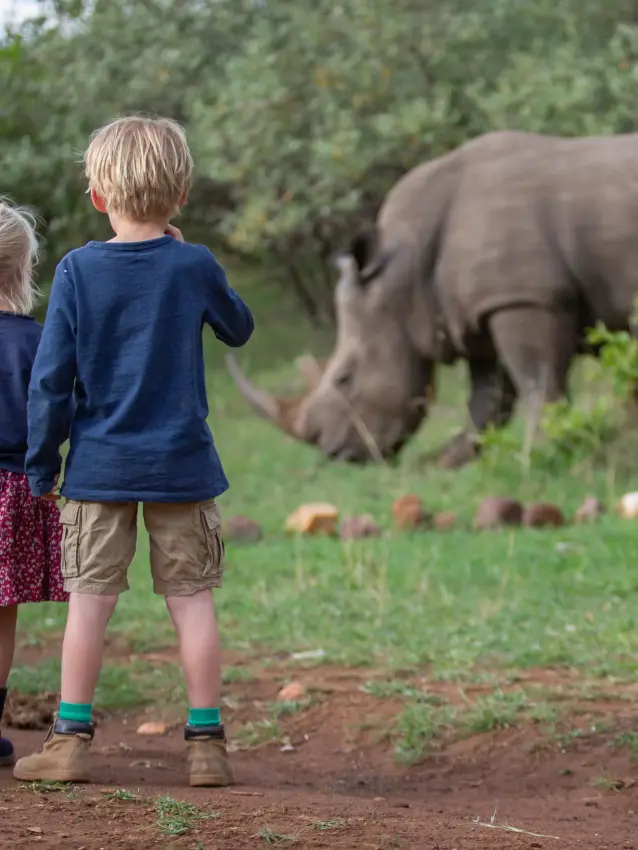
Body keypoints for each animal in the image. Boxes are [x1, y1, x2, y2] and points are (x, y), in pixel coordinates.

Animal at [227, 129, 638, 466]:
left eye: (345, 379)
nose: (335, 453)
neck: (402, 270)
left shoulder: (525, 298)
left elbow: (538, 383)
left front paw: (541, 456)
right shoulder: (476, 313)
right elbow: (488, 402)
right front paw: (444, 463)